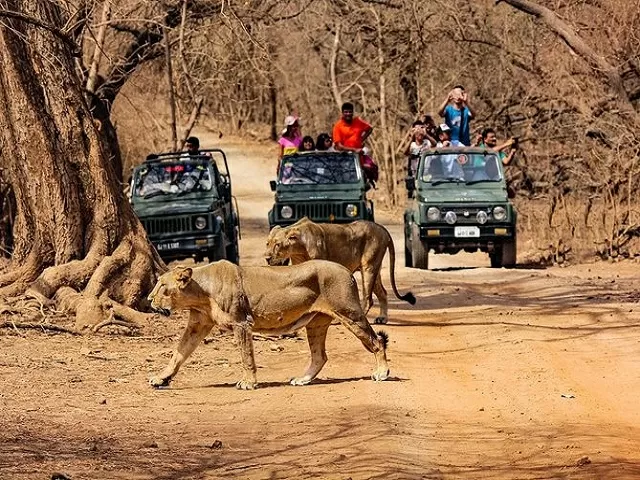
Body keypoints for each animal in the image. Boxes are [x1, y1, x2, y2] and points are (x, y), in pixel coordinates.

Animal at [147, 260, 390, 390]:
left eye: (162, 286)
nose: (149, 299)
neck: (200, 293)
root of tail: (347, 271)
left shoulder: (241, 322)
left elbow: (246, 356)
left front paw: (248, 383)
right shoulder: (197, 325)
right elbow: (178, 354)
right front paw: (161, 378)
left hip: (350, 313)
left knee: (376, 341)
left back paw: (382, 373)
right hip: (316, 324)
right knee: (320, 356)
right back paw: (302, 379)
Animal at [265, 218, 416, 324]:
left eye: (277, 245)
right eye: (267, 243)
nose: (266, 258)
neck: (298, 249)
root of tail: (382, 229)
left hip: (369, 267)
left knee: (368, 298)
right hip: (374, 268)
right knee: (382, 292)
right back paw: (382, 318)